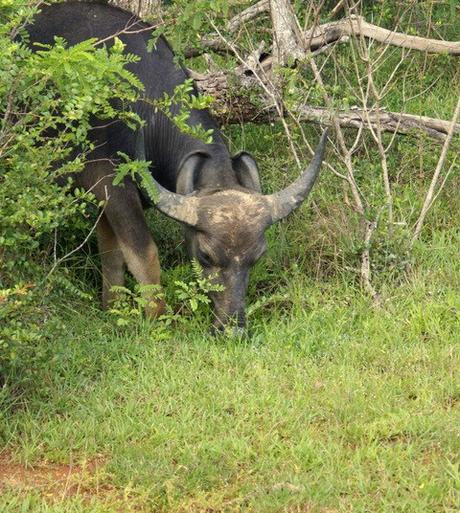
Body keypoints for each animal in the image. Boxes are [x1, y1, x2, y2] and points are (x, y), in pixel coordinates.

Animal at [27, 2, 328, 330]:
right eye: (205, 256)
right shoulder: (108, 179)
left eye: (257, 257)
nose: (232, 328)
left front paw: (113, 310)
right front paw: (156, 318)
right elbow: (142, 252)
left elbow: (111, 250)